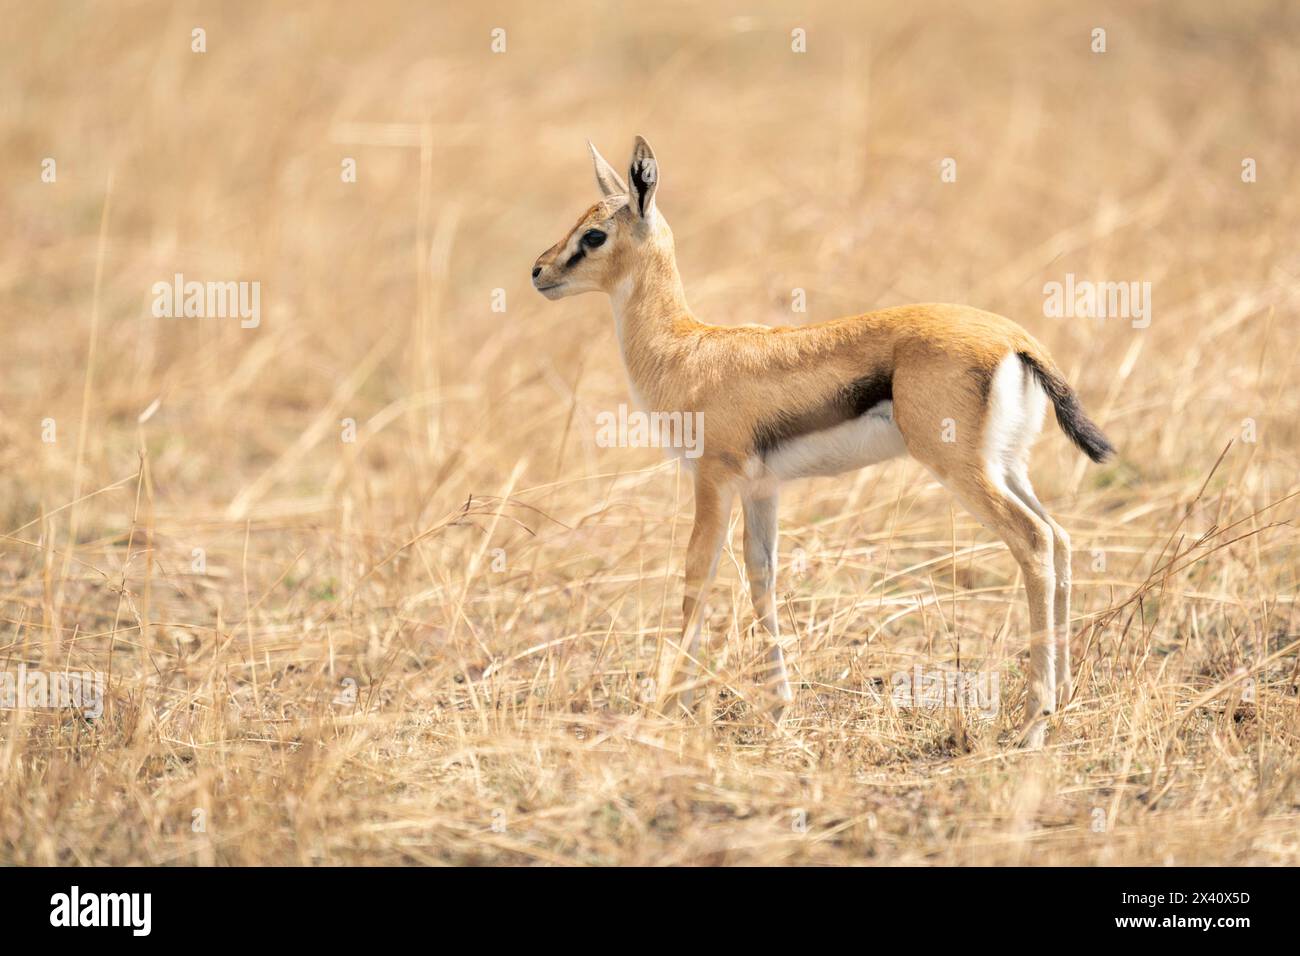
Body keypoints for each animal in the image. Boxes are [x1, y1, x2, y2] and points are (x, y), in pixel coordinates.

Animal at [531, 137, 1115, 747]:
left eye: (594, 234)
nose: (538, 271)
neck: (683, 350)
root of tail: (1016, 339)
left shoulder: (712, 480)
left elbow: (698, 572)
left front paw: (670, 708)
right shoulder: (761, 490)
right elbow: (761, 573)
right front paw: (778, 709)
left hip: (964, 472)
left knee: (1034, 541)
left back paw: (1033, 722)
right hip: (1006, 467)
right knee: (1061, 538)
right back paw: (1064, 695)